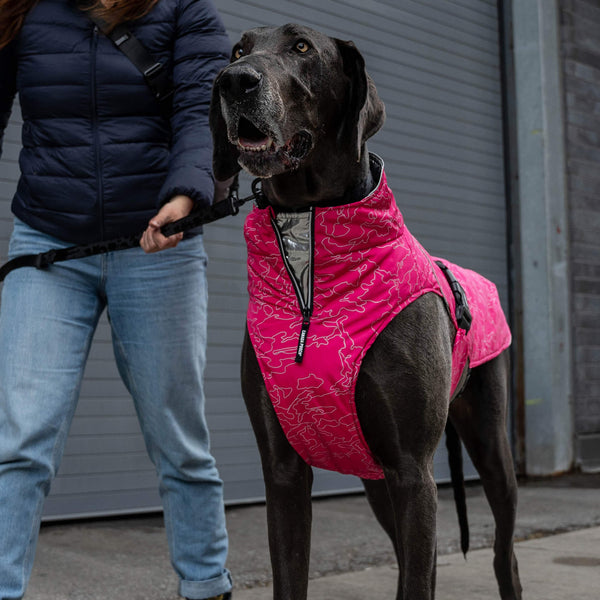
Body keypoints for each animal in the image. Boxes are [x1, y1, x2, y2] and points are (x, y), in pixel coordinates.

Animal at [210, 24, 520, 600]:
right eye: (239, 50)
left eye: (301, 47)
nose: (234, 81)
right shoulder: (283, 473)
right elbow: (292, 574)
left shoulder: (413, 468)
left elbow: (419, 577)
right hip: (376, 476)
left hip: (489, 446)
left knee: (501, 550)